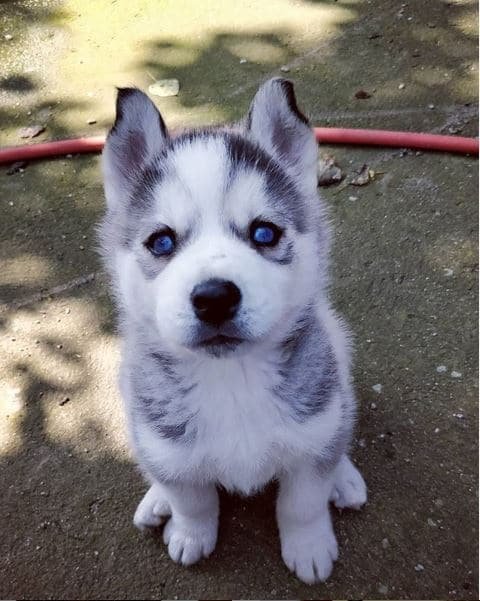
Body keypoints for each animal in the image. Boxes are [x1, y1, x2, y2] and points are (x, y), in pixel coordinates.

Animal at [99, 78, 366, 580]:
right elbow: (192, 498)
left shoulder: (311, 437)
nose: (214, 298)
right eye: (161, 241)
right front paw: (189, 534)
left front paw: (309, 546)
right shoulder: (167, 445)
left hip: (338, 353)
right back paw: (155, 501)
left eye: (264, 233)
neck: (231, 380)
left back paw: (344, 477)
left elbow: (302, 502)